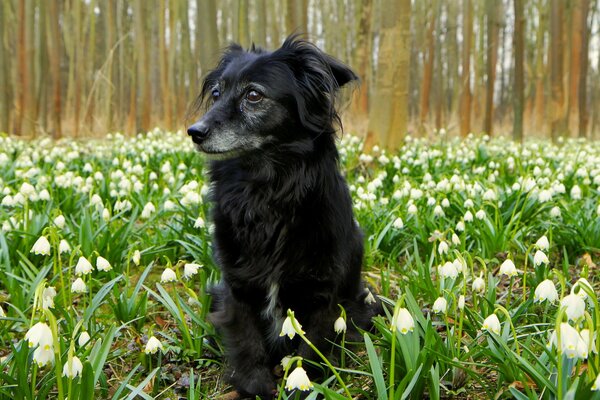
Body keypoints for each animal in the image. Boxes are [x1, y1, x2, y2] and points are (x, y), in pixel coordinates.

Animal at [188, 36, 380, 398]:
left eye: (253, 95)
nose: (195, 131)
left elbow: (311, 347)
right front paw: (253, 385)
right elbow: (247, 340)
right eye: (217, 93)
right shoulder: (238, 285)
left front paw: (303, 384)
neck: (268, 190)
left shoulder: (322, 292)